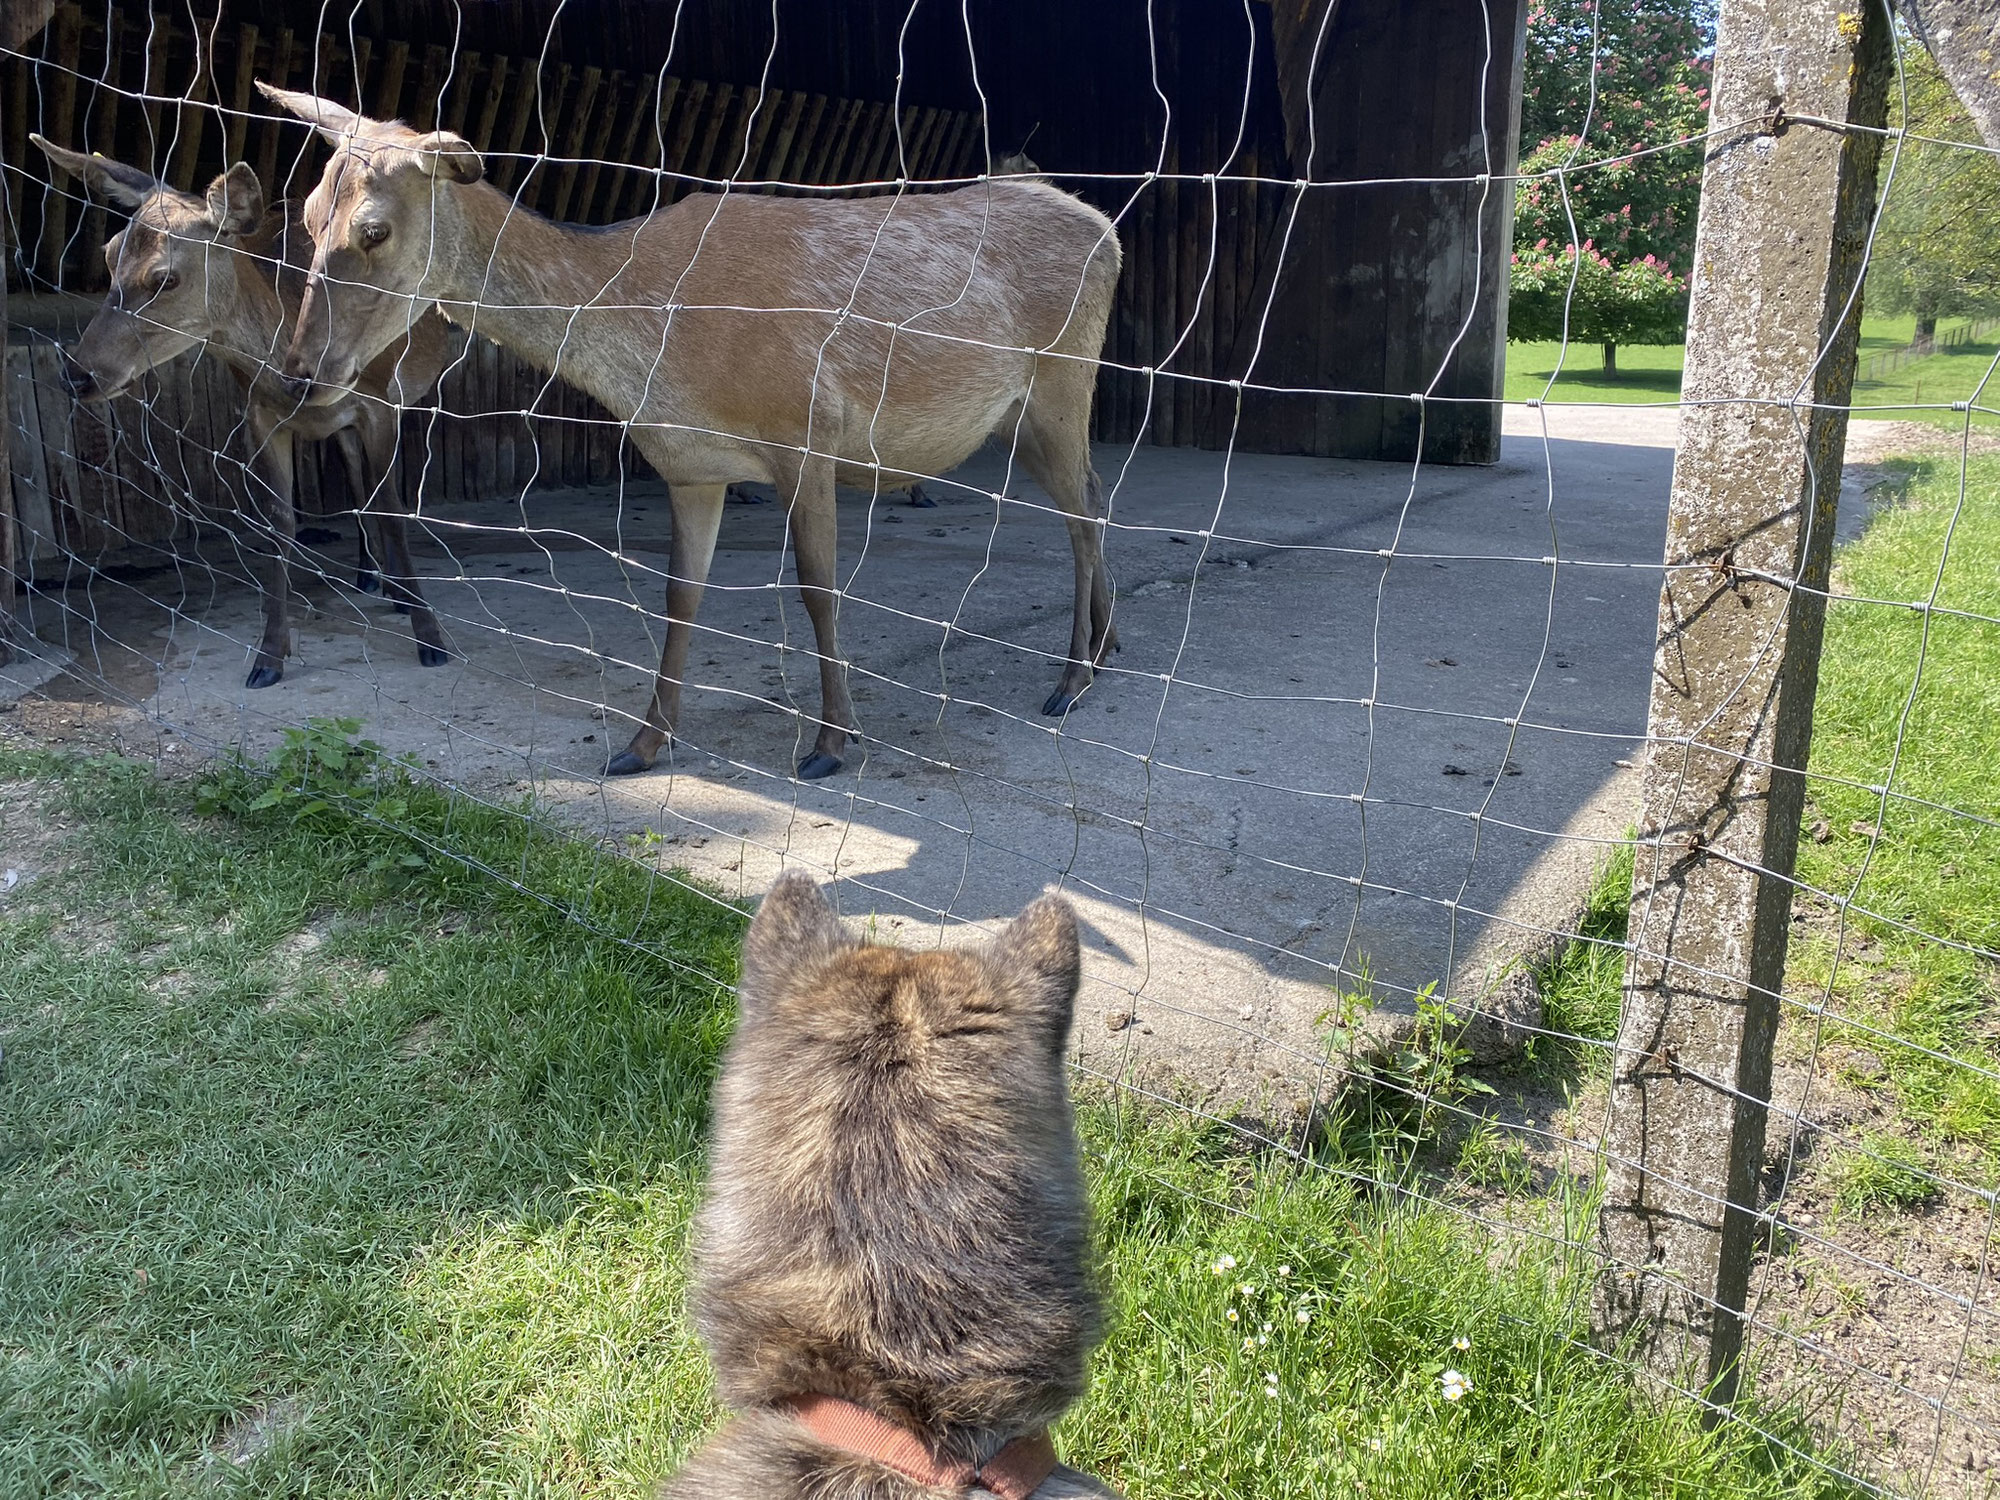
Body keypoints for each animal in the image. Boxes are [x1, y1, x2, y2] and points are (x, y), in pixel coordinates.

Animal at [33, 135, 452, 688]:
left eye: (164, 278)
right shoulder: (259, 414)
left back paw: (395, 589)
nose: (77, 374)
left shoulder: (380, 401)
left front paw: (431, 638)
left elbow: (393, 509)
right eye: (108, 254)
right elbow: (279, 522)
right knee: (352, 473)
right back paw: (367, 574)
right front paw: (269, 656)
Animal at [256, 86, 1120, 780]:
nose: (297, 375)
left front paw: (830, 743)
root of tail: (1104, 225)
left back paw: (1071, 679)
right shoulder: (688, 464)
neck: (660, 349)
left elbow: (818, 588)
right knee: (1093, 495)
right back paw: (1106, 650)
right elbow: (678, 595)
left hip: (1065, 376)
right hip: (1026, 409)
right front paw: (642, 744)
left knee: (1081, 509)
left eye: (374, 231)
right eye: (306, 216)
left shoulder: (807, 428)